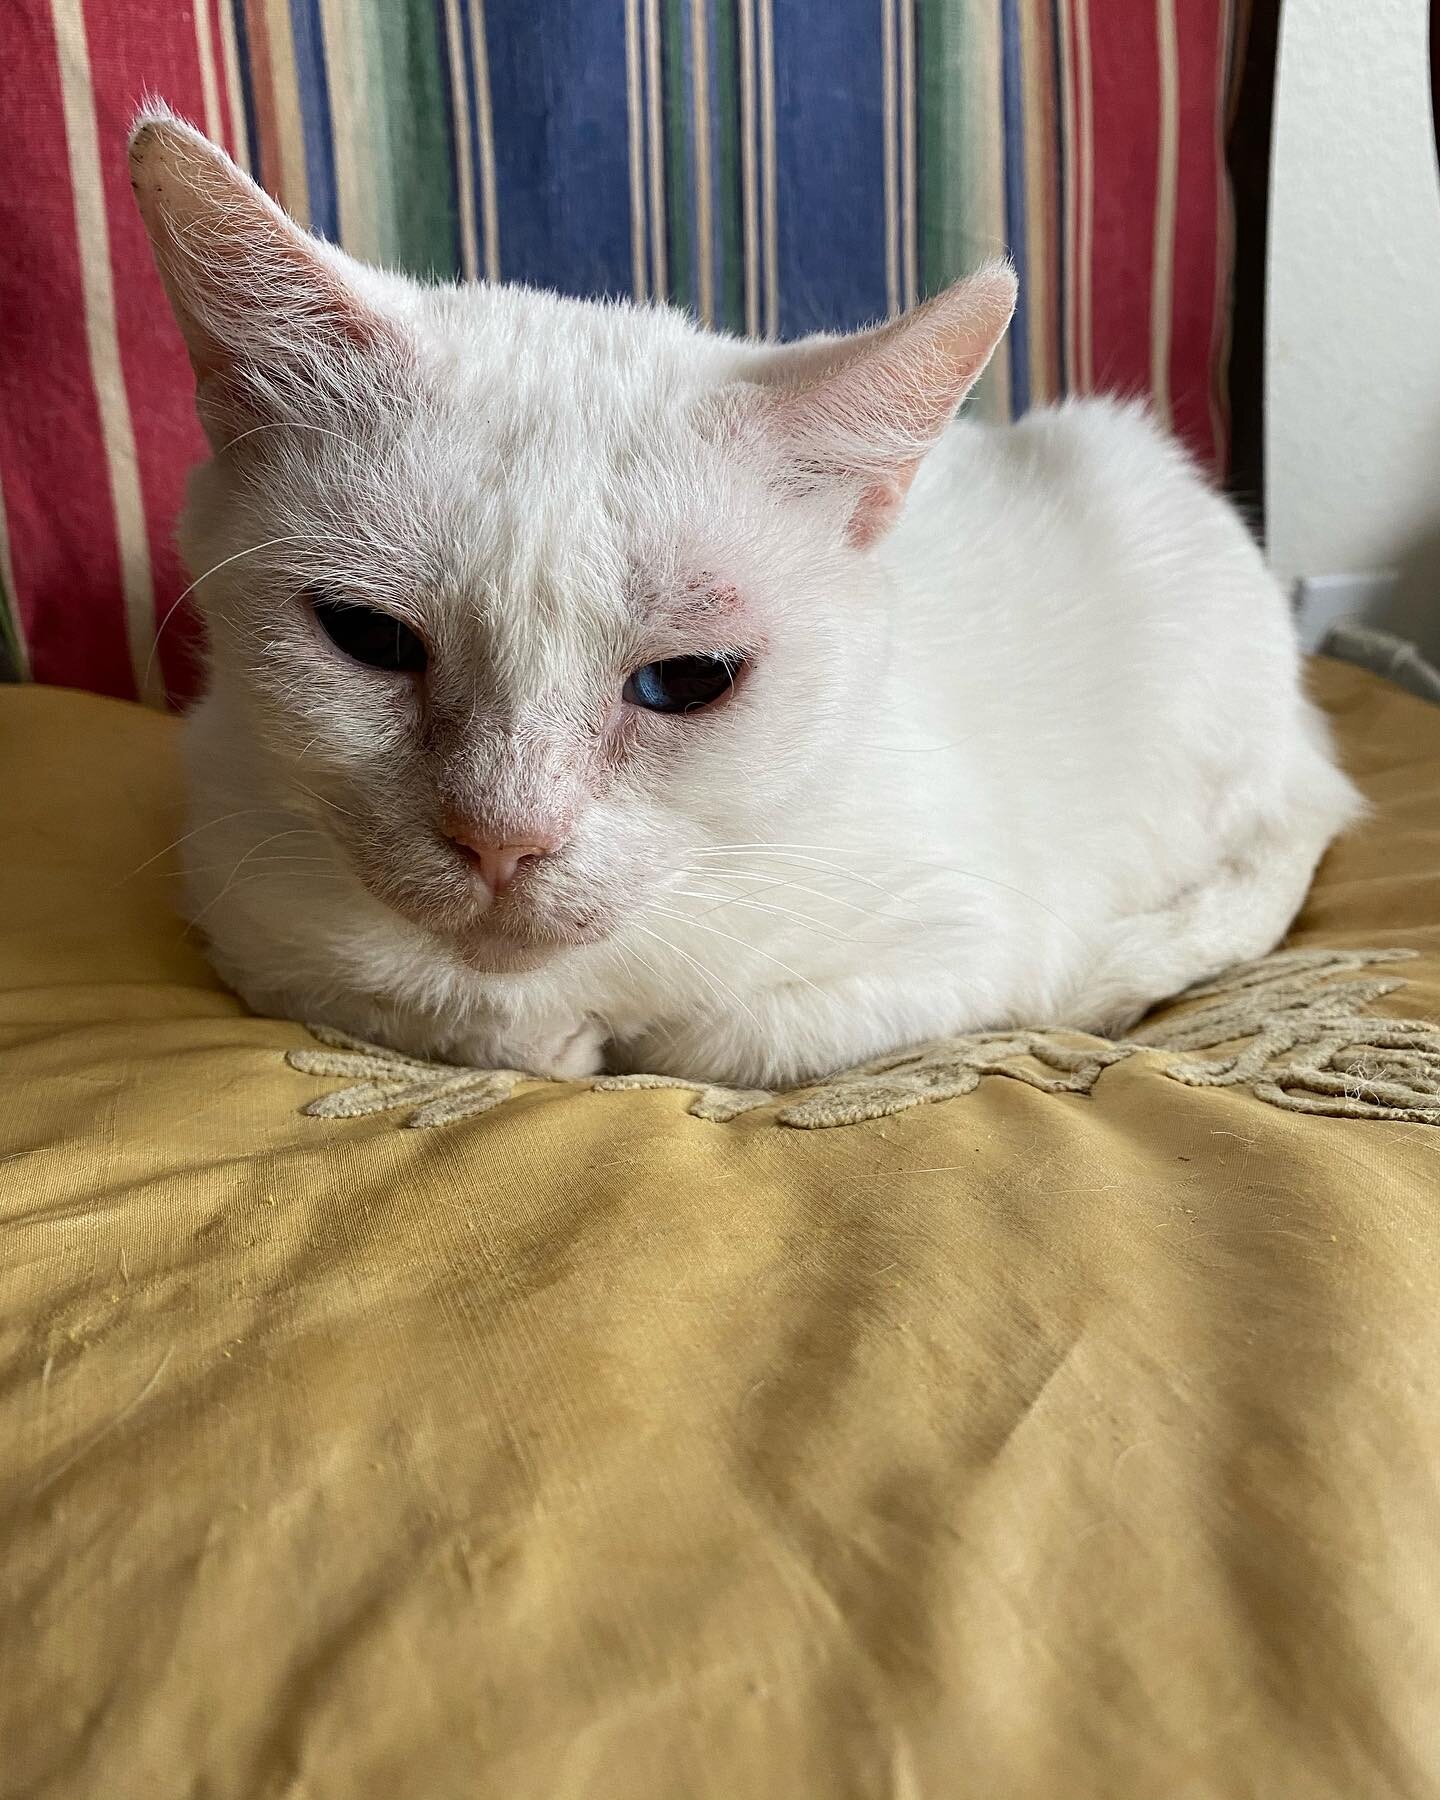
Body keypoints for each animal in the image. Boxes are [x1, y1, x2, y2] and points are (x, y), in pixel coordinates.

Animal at [132, 116, 1360, 1094]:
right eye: (370, 638)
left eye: (686, 682)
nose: (503, 838)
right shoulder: (237, 910)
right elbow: (414, 1009)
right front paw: (532, 1033)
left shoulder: (966, 943)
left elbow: (712, 1044)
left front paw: (603, 1036)